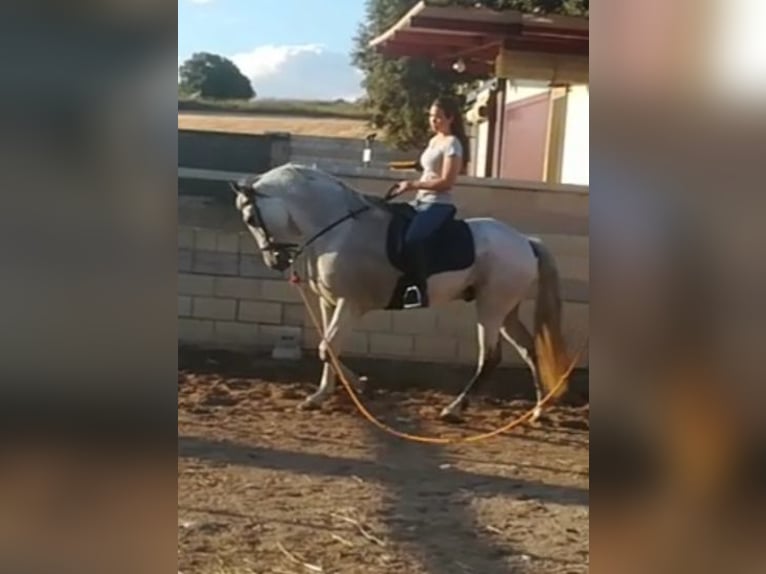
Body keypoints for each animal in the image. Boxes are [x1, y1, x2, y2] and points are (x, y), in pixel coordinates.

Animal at [234, 163, 576, 424]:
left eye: (251, 219)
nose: (275, 261)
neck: (339, 229)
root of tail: (525, 241)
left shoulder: (351, 304)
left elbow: (325, 348)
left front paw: (361, 385)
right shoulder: (328, 302)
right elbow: (329, 348)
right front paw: (321, 396)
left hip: (491, 308)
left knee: (490, 358)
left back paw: (454, 409)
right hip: (506, 311)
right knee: (531, 350)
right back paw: (538, 411)